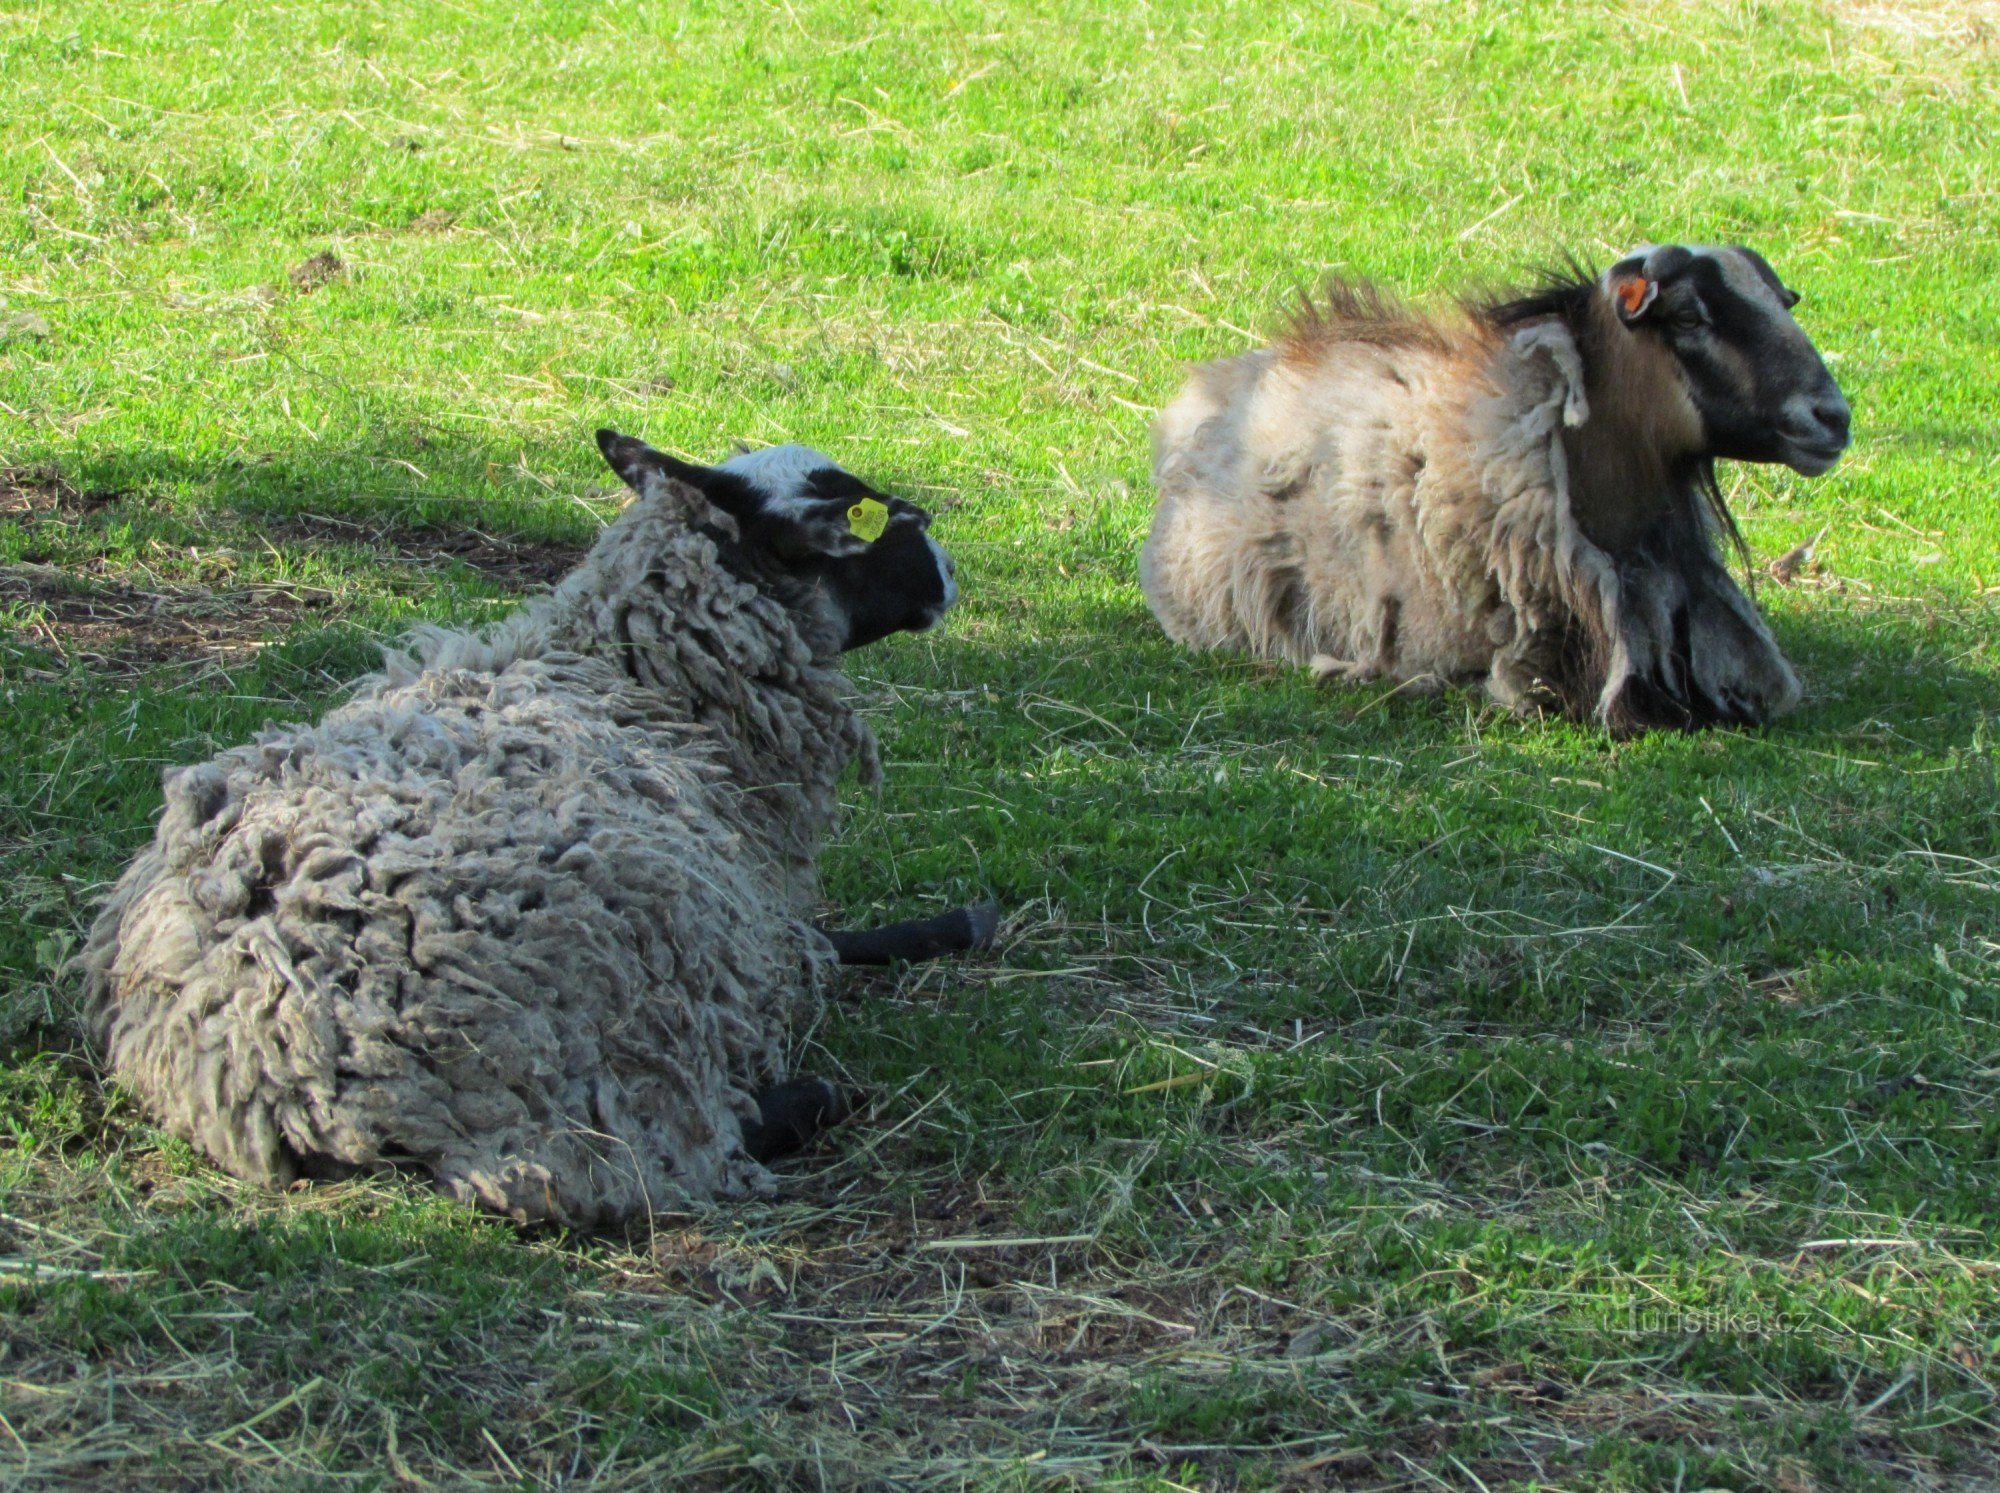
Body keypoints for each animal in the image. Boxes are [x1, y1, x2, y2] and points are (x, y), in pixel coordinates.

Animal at [72, 428, 992, 1224]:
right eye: (851, 516)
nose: (949, 567)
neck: (637, 679)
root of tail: (256, 1052)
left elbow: (832, 938)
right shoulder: (744, 929)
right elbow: (823, 946)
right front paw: (956, 923)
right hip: (587, 1022)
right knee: (608, 1167)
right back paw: (814, 1098)